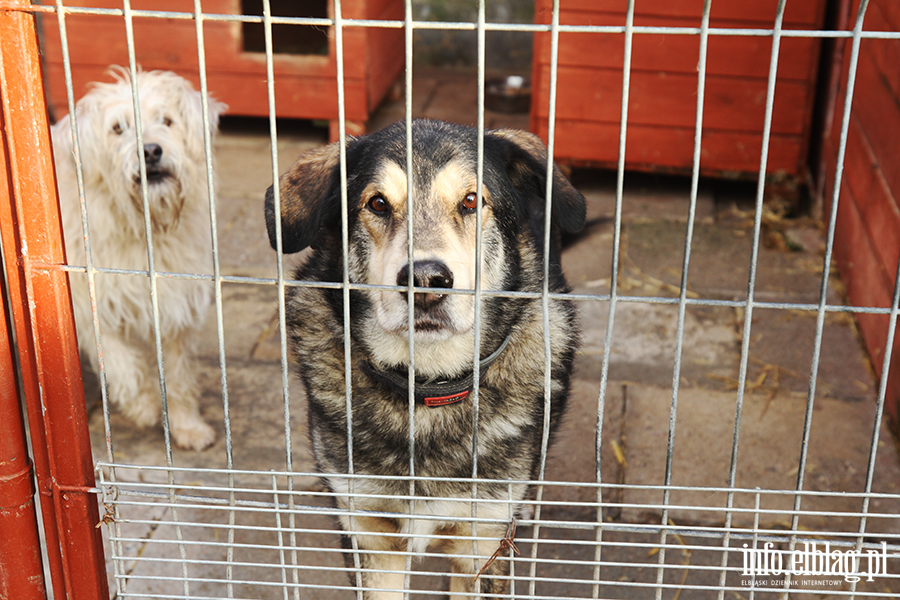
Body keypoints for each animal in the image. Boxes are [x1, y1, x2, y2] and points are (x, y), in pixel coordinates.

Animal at [52, 67, 227, 450]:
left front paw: (187, 425)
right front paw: (144, 405)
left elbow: (177, 373)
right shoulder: (89, 304)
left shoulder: (176, 304)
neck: (144, 225)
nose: (150, 151)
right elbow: (123, 365)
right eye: (118, 128)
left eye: (167, 120)